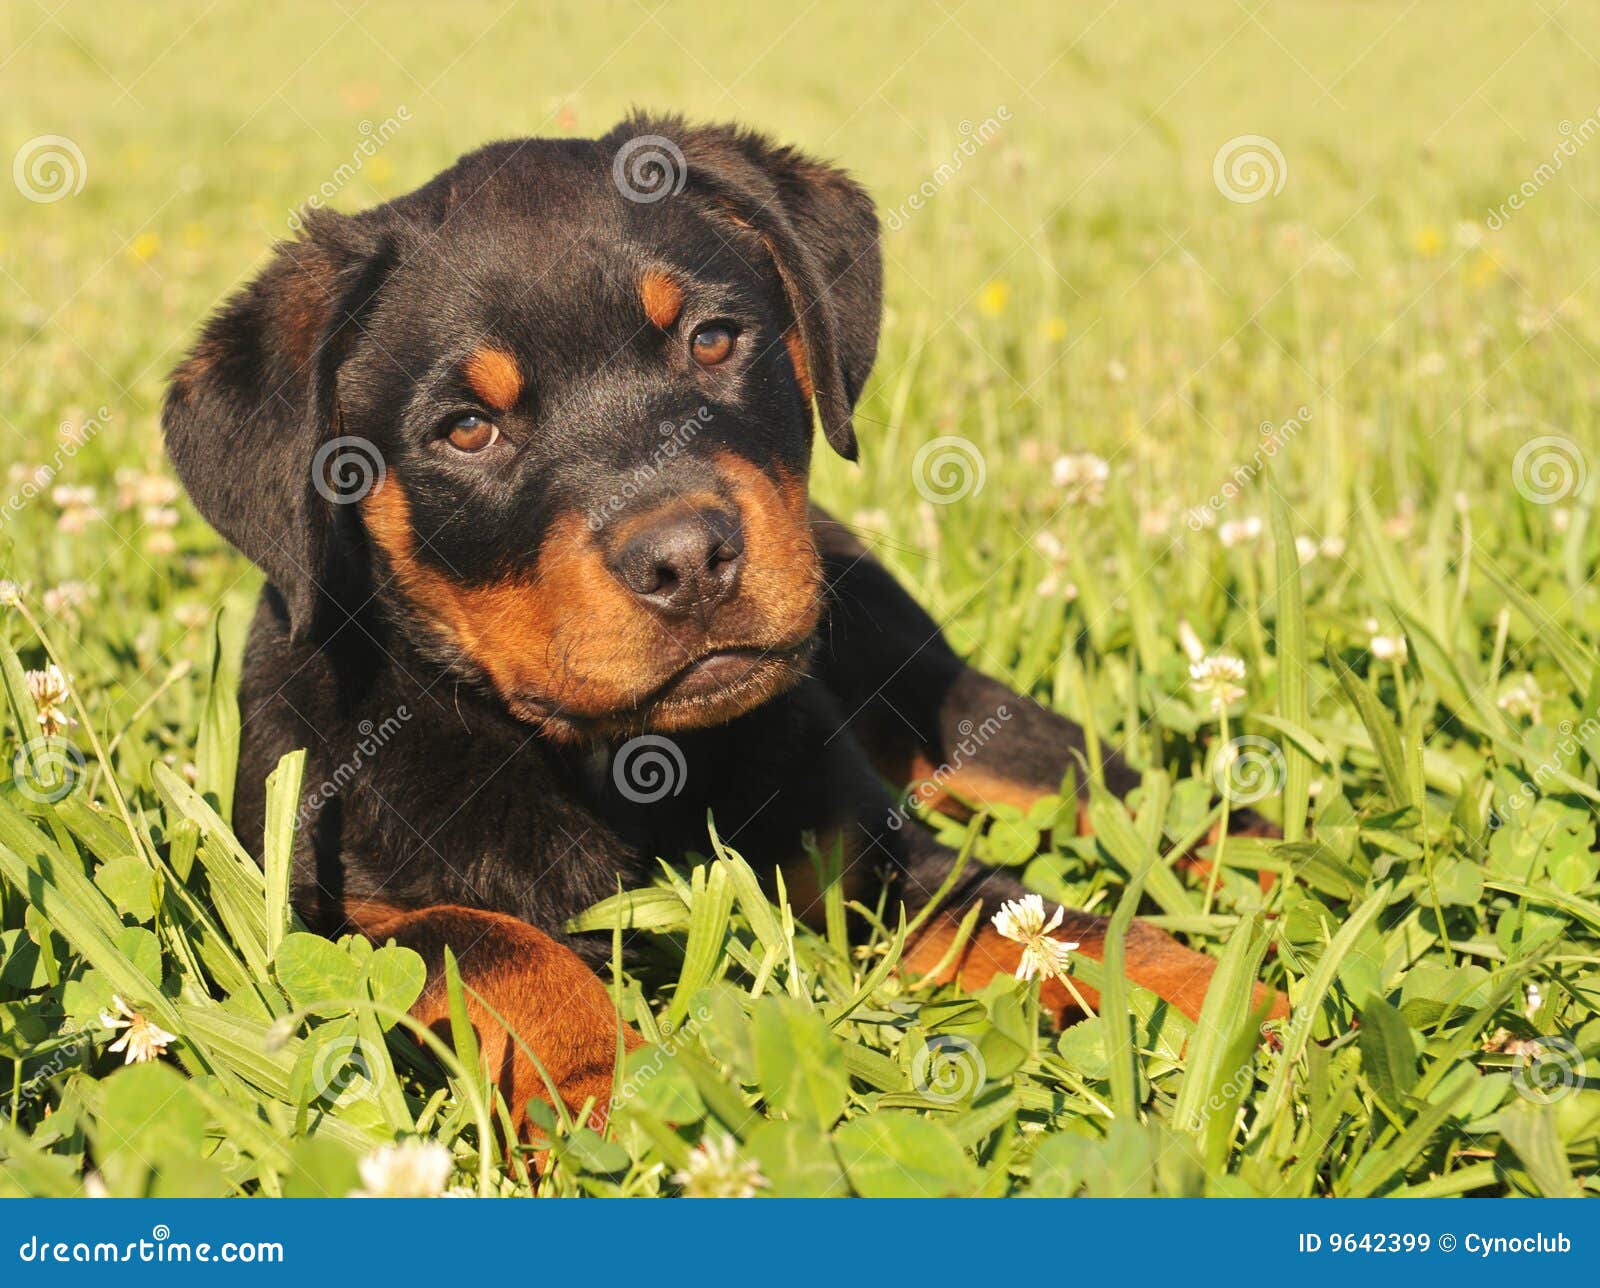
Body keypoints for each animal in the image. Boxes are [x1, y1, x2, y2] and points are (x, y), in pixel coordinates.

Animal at [162, 115, 1286, 1132]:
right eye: (467, 429)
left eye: (711, 340)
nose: (686, 558)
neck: (614, 760)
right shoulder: (317, 908)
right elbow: (492, 942)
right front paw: (603, 1091)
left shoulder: (880, 858)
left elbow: (1073, 928)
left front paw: (1256, 1018)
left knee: (1146, 804)